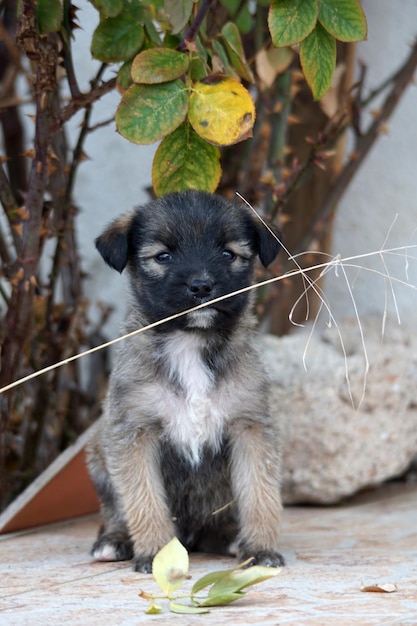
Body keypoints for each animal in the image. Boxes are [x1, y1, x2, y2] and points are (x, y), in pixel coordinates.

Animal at [87, 189, 282, 572]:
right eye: (163, 256)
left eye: (228, 254)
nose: (202, 285)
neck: (190, 344)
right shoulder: (133, 433)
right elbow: (143, 498)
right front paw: (157, 553)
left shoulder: (250, 426)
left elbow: (259, 492)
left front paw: (261, 548)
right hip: (98, 456)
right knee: (115, 512)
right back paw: (113, 542)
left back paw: (229, 537)